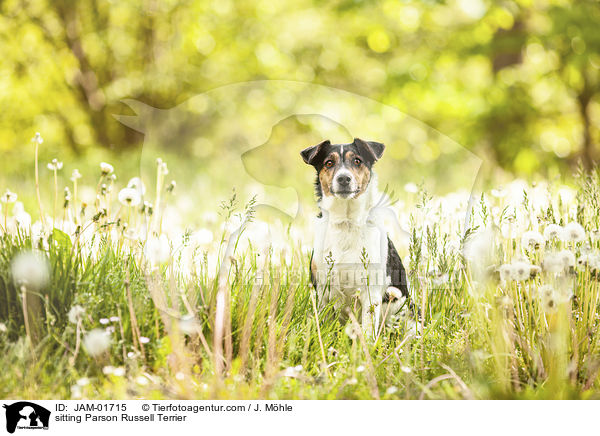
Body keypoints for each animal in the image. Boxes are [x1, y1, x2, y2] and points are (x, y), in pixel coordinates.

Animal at [300, 138, 412, 336]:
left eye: (357, 161)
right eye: (329, 163)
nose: (344, 178)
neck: (346, 222)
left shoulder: (370, 294)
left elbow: (367, 332)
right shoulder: (322, 291)